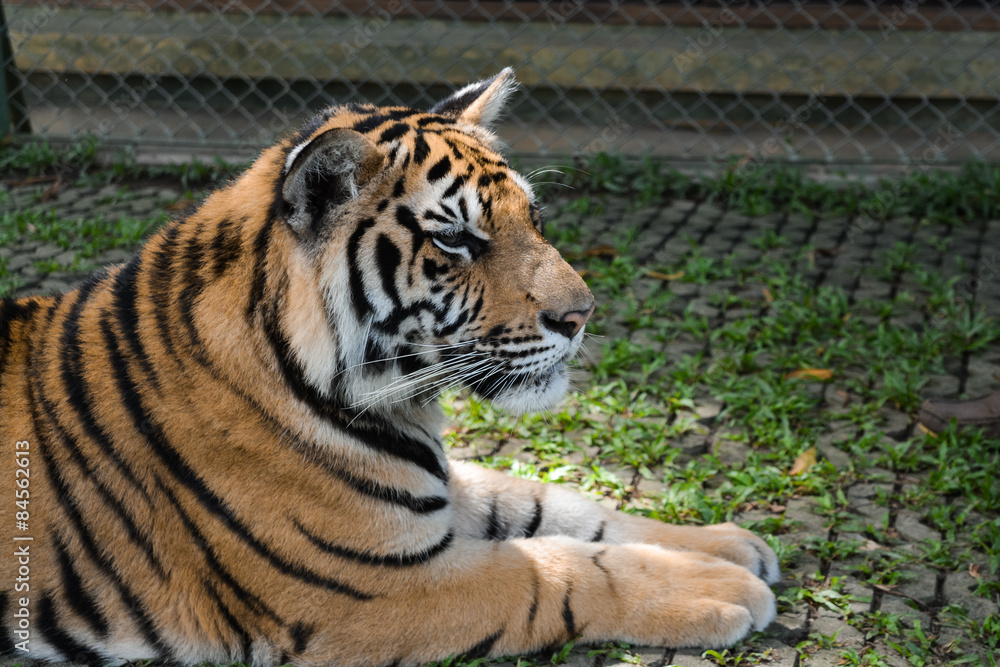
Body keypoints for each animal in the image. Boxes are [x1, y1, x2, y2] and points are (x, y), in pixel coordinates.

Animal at [0, 68, 779, 666]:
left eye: (533, 217)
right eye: (456, 239)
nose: (582, 315)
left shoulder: (431, 495)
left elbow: (560, 506)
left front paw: (728, 544)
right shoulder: (375, 590)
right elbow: (556, 570)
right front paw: (722, 589)